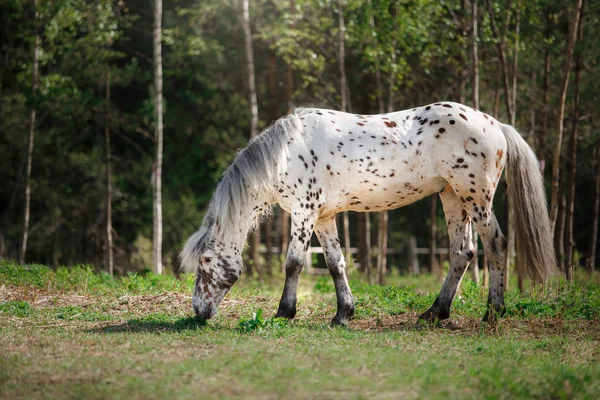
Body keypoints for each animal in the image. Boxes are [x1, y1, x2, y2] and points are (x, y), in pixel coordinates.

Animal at [179, 101, 556, 326]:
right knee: (462, 253)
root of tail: (495, 124)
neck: (285, 153)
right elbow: (336, 264)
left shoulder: (304, 213)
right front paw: (342, 315)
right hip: (451, 198)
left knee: (496, 246)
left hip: (475, 198)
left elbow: (294, 263)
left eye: (206, 262)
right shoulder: (324, 217)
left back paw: (493, 311)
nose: (198, 311)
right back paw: (435, 312)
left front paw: (285, 312)